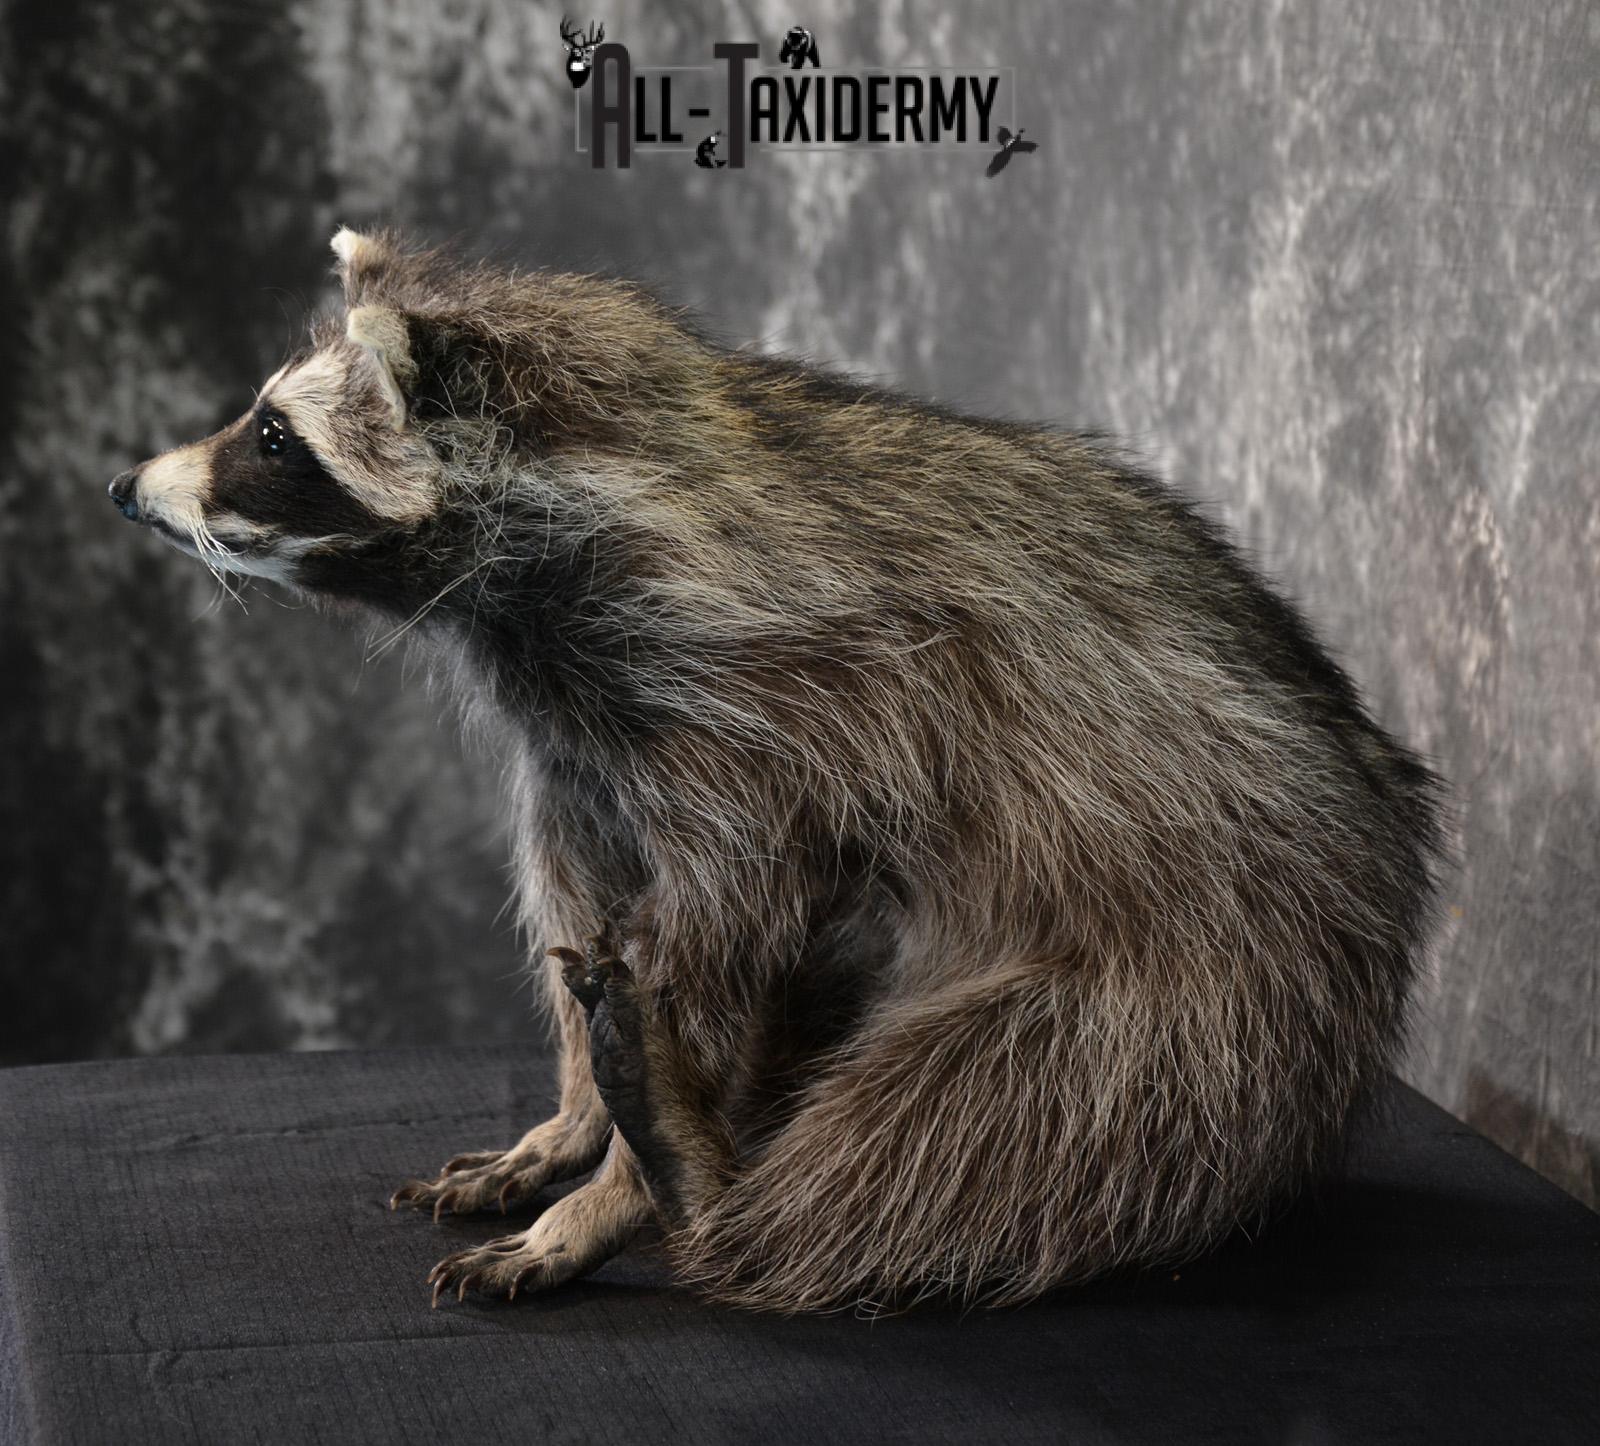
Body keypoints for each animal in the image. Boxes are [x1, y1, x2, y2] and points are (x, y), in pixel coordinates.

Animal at [110, 228, 1446, 1313]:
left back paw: (709, 1193)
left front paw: (604, 1194)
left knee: (949, 1134)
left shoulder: (782, 712)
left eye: (273, 435)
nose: (126, 486)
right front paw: (571, 1120)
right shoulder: (583, 743)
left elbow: (727, 944)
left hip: (1202, 996)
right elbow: (579, 898)